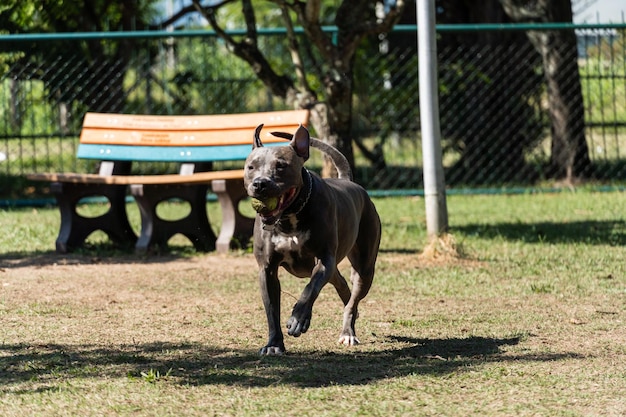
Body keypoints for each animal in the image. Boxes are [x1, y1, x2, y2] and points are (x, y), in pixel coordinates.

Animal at [243, 123, 380, 354]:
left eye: (281, 166)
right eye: (251, 167)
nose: (260, 184)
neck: (289, 216)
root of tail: (347, 181)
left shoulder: (324, 259)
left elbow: (310, 289)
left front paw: (298, 319)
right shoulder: (267, 269)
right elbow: (271, 310)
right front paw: (273, 344)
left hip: (365, 268)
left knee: (352, 299)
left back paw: (348, 332)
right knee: (342, 285)